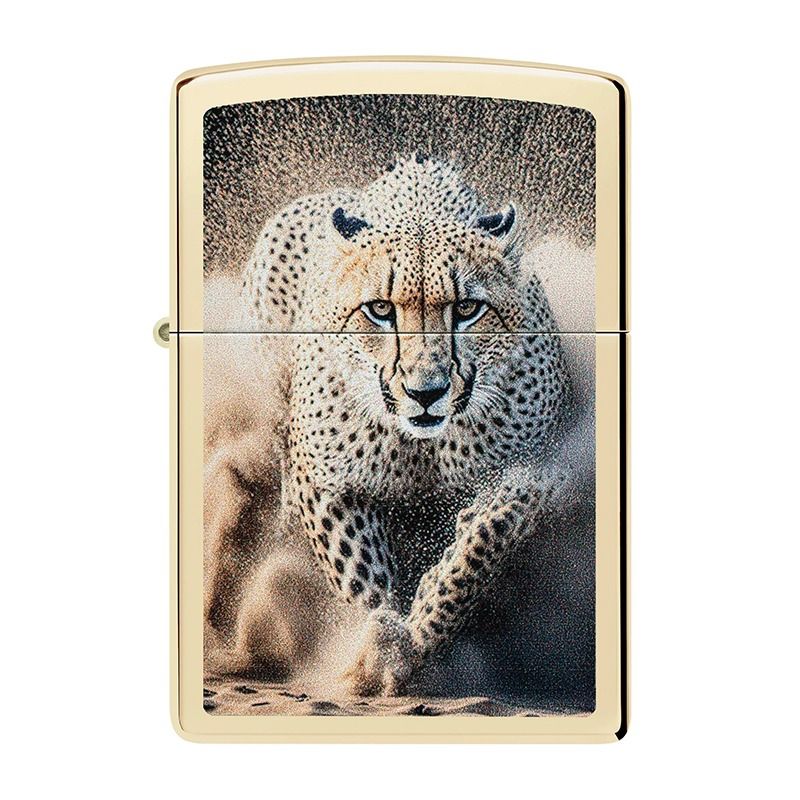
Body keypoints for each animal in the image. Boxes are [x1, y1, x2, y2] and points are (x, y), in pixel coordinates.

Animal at [204, 154, 579, 697]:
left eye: (468, 308)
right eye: (380, 309)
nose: (426, 391)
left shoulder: (548, 467)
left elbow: (493, 526)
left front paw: (426, 616)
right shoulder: (322, 480)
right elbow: (360, 572)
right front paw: (381, 650)